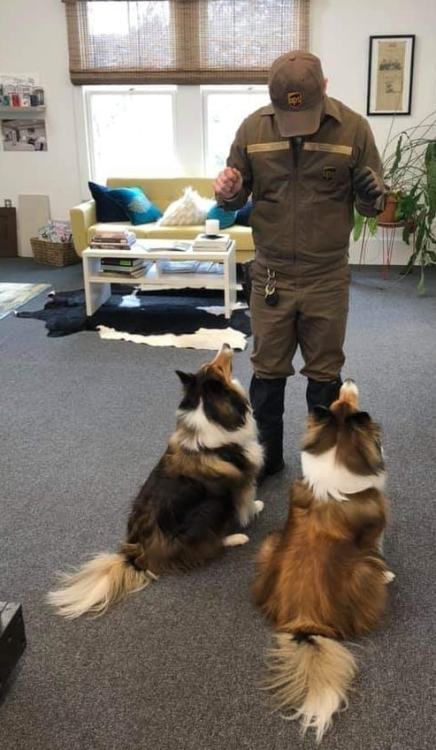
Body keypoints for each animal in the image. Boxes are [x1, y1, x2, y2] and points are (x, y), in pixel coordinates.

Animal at [49, 344, 264, 620]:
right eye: (216, 366)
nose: (227, 346)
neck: (209, 410)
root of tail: (138, 554)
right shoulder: (243, 479)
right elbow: (247, 501)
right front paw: (256, 507)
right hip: (210, 509)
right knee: (203, 548)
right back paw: (235, 538)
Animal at [252, 384, 392, 744]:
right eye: (342, 401)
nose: (349, 380)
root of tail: (306, 623)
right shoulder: (374, 536)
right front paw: (390, 572)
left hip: (269, 544)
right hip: (362, 572)